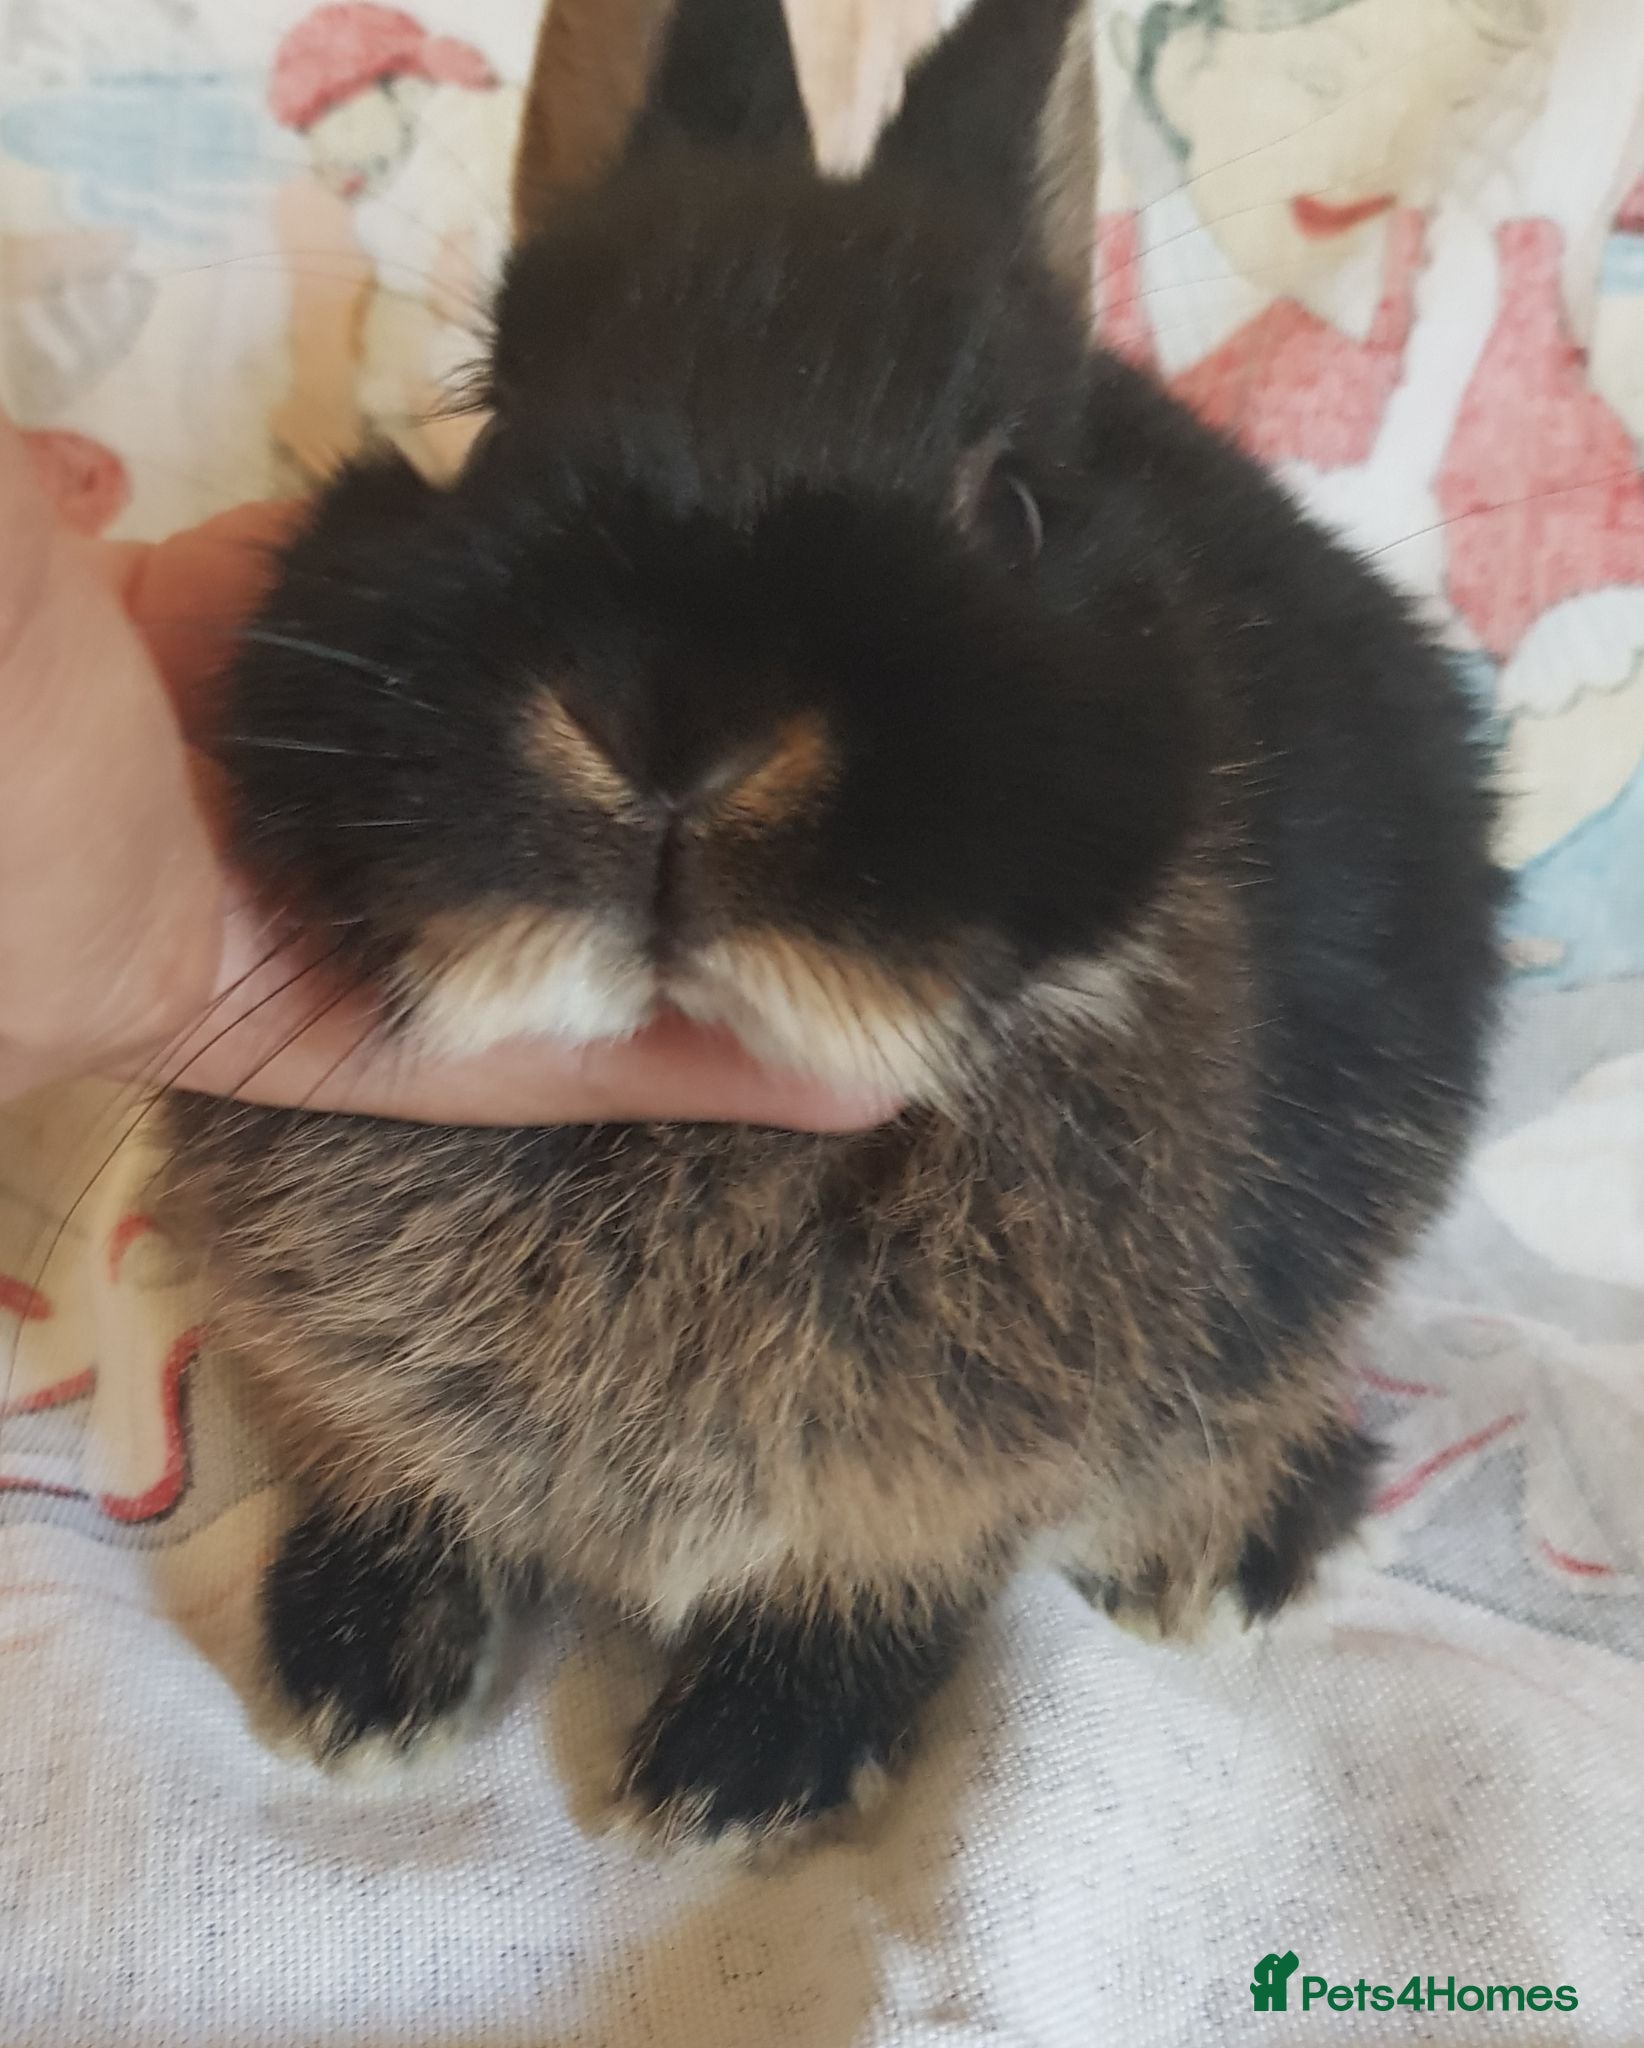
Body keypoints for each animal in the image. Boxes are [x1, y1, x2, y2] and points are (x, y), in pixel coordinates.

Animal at [157, 0, 1504, 1848]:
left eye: (1008, 505)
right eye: (490, 425)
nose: (671, 729)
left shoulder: (961, 1462)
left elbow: (885, 1567)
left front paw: (742, 1771)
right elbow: (380, 1456)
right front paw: (355, 1684)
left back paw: (1222, 1560)